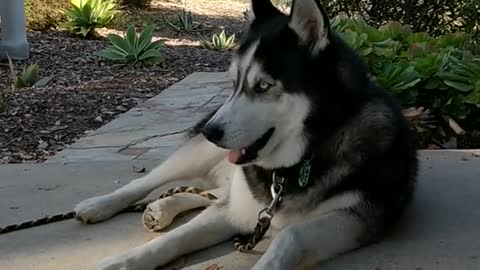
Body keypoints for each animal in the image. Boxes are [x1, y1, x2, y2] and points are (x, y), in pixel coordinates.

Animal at [73, 0, 418, 268]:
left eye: (262, 86)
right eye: (233, 83)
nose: (210, 131)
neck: (297, 162)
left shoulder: (357, 217)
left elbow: (290, 234)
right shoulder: (238, 208)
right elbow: (175, 239)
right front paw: (121, 261)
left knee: (209, 192)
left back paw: (163, 208)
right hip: (197, 155)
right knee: (149, 183)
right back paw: (101, 205)